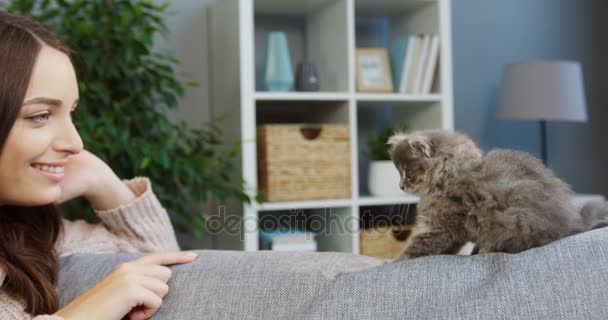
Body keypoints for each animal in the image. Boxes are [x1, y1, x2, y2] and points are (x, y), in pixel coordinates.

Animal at [388, 129, 604, 262]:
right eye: (398, 172)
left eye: (408, 172)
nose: (400, 186)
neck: (448, 177)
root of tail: (573, 223)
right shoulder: (449, 231)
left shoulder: (442, 226)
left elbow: (415, 247)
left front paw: (393, 262)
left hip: (516, 218)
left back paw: (485, 250)